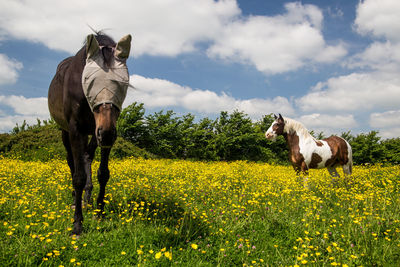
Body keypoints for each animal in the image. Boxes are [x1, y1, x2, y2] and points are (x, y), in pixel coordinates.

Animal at [47, 32, 131, 236]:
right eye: (91, 82)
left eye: (123, 84)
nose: (106, 134)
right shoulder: (75, 128)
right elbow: (78, 176)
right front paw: (77, 224)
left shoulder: (104, 131)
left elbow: (103, 173)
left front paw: (100, 212)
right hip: (67, 132)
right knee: (71, 160)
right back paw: (75, 198)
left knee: (87, 156)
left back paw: (87, 197)